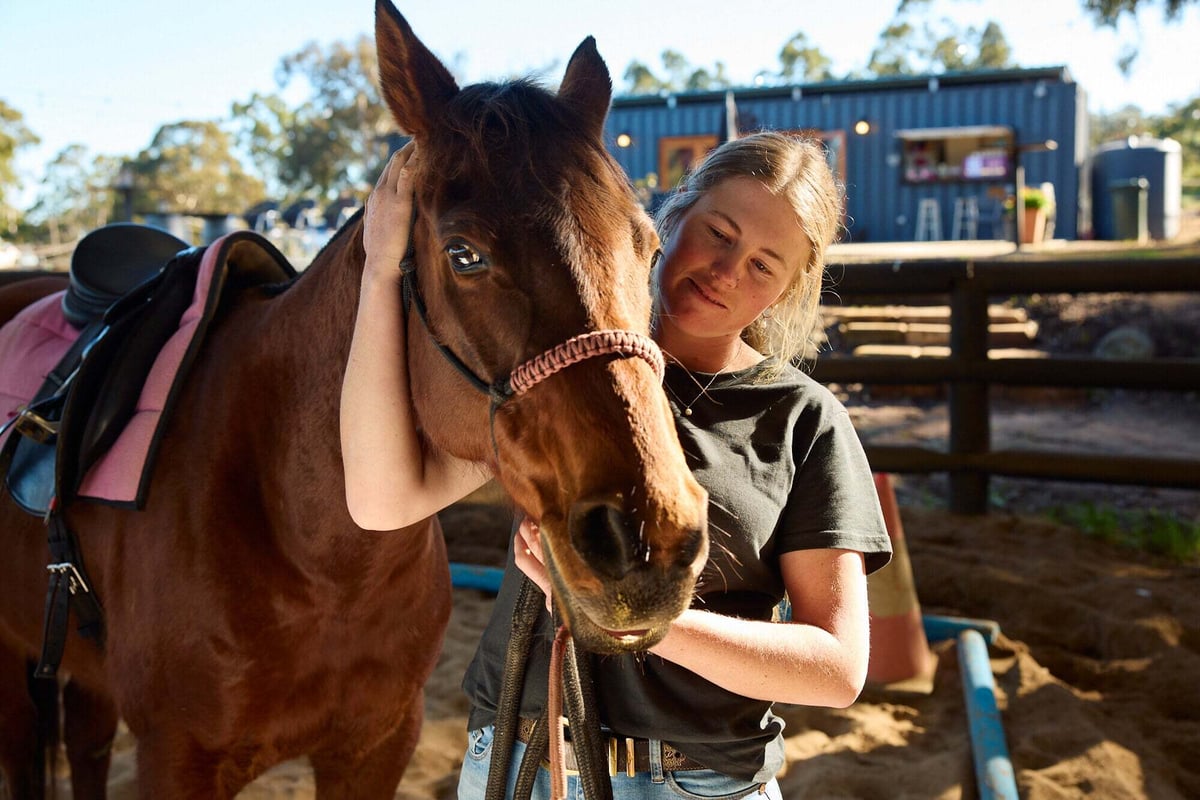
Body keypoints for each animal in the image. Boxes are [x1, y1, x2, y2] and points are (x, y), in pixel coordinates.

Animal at [0, 1, 708, 796]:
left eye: (650, 249)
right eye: (464, 254)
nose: (651, 537)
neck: (314, 547)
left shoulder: (378, 743)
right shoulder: (175, 758)